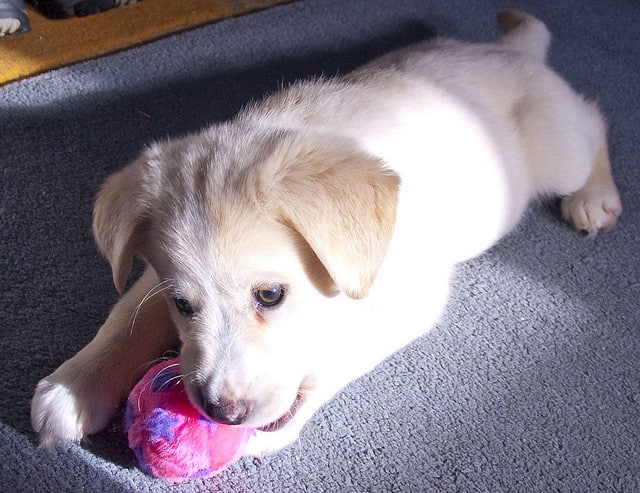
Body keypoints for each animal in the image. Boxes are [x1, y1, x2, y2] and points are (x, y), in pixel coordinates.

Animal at [31, 10, 620, 458]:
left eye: (270, 295)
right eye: (182, 304)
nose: (222, 411)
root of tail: (510, 52)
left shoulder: (413, 299)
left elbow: (338, 355)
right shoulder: (154, 277)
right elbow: (123, 318)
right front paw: (74, 388)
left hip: (558, 150)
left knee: (594, 121)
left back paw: (595, 198)